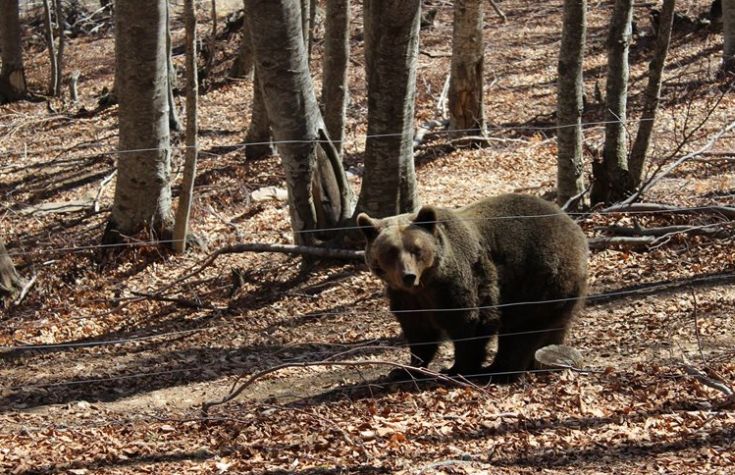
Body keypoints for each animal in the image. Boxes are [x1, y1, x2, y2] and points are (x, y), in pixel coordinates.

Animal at [360, 193, 588, 384]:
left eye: (416, 249)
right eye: (391, 251)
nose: (408, 275)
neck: (427, 283)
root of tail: (573, 227)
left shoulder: (459, 282)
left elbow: (471, 321)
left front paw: (457, 369)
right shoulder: (407, 297)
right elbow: (419, 331)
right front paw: (405, 369)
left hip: (539, 277)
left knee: (522, 329)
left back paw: (499, 370)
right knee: (554, 324)